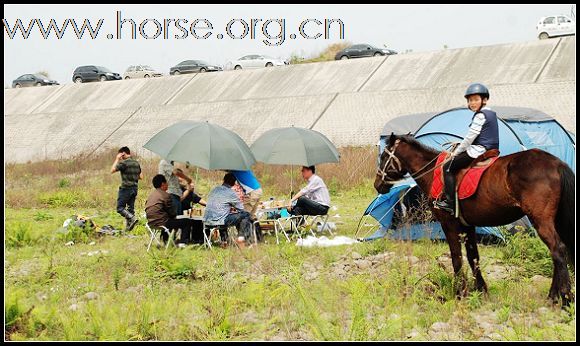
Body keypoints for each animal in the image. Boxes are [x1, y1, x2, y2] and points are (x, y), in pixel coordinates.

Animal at [376, 134, 576, 306]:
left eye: (384, 156)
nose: (378, 185)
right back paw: (554, 296)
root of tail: (556, 163)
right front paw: (481, 290)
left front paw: (460, 292)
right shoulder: (468, 225)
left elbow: (456, 257)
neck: (434, 173)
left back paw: (564, 298)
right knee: (559, 252)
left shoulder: (449, 224)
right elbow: (473, 257)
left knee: (558, 250)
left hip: (541, 220)